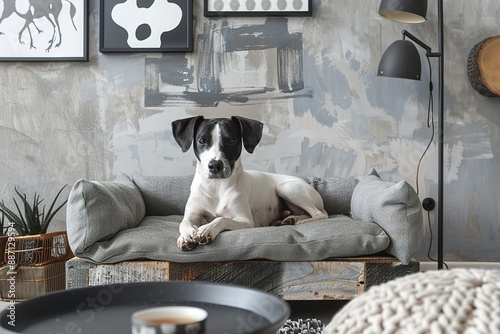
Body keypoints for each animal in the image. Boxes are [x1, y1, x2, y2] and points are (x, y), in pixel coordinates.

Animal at [172, 116, 328, 249]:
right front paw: (185, 237)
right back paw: (289, 219)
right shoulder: (192, 215)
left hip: (287, 188)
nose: (215, 165)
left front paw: (206, 229)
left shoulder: (245, 221)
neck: (216, 187)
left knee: (319, 215)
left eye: (231, 141)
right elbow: (183, 224)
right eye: (202, 141)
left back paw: (299, 221)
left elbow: (221, 219)